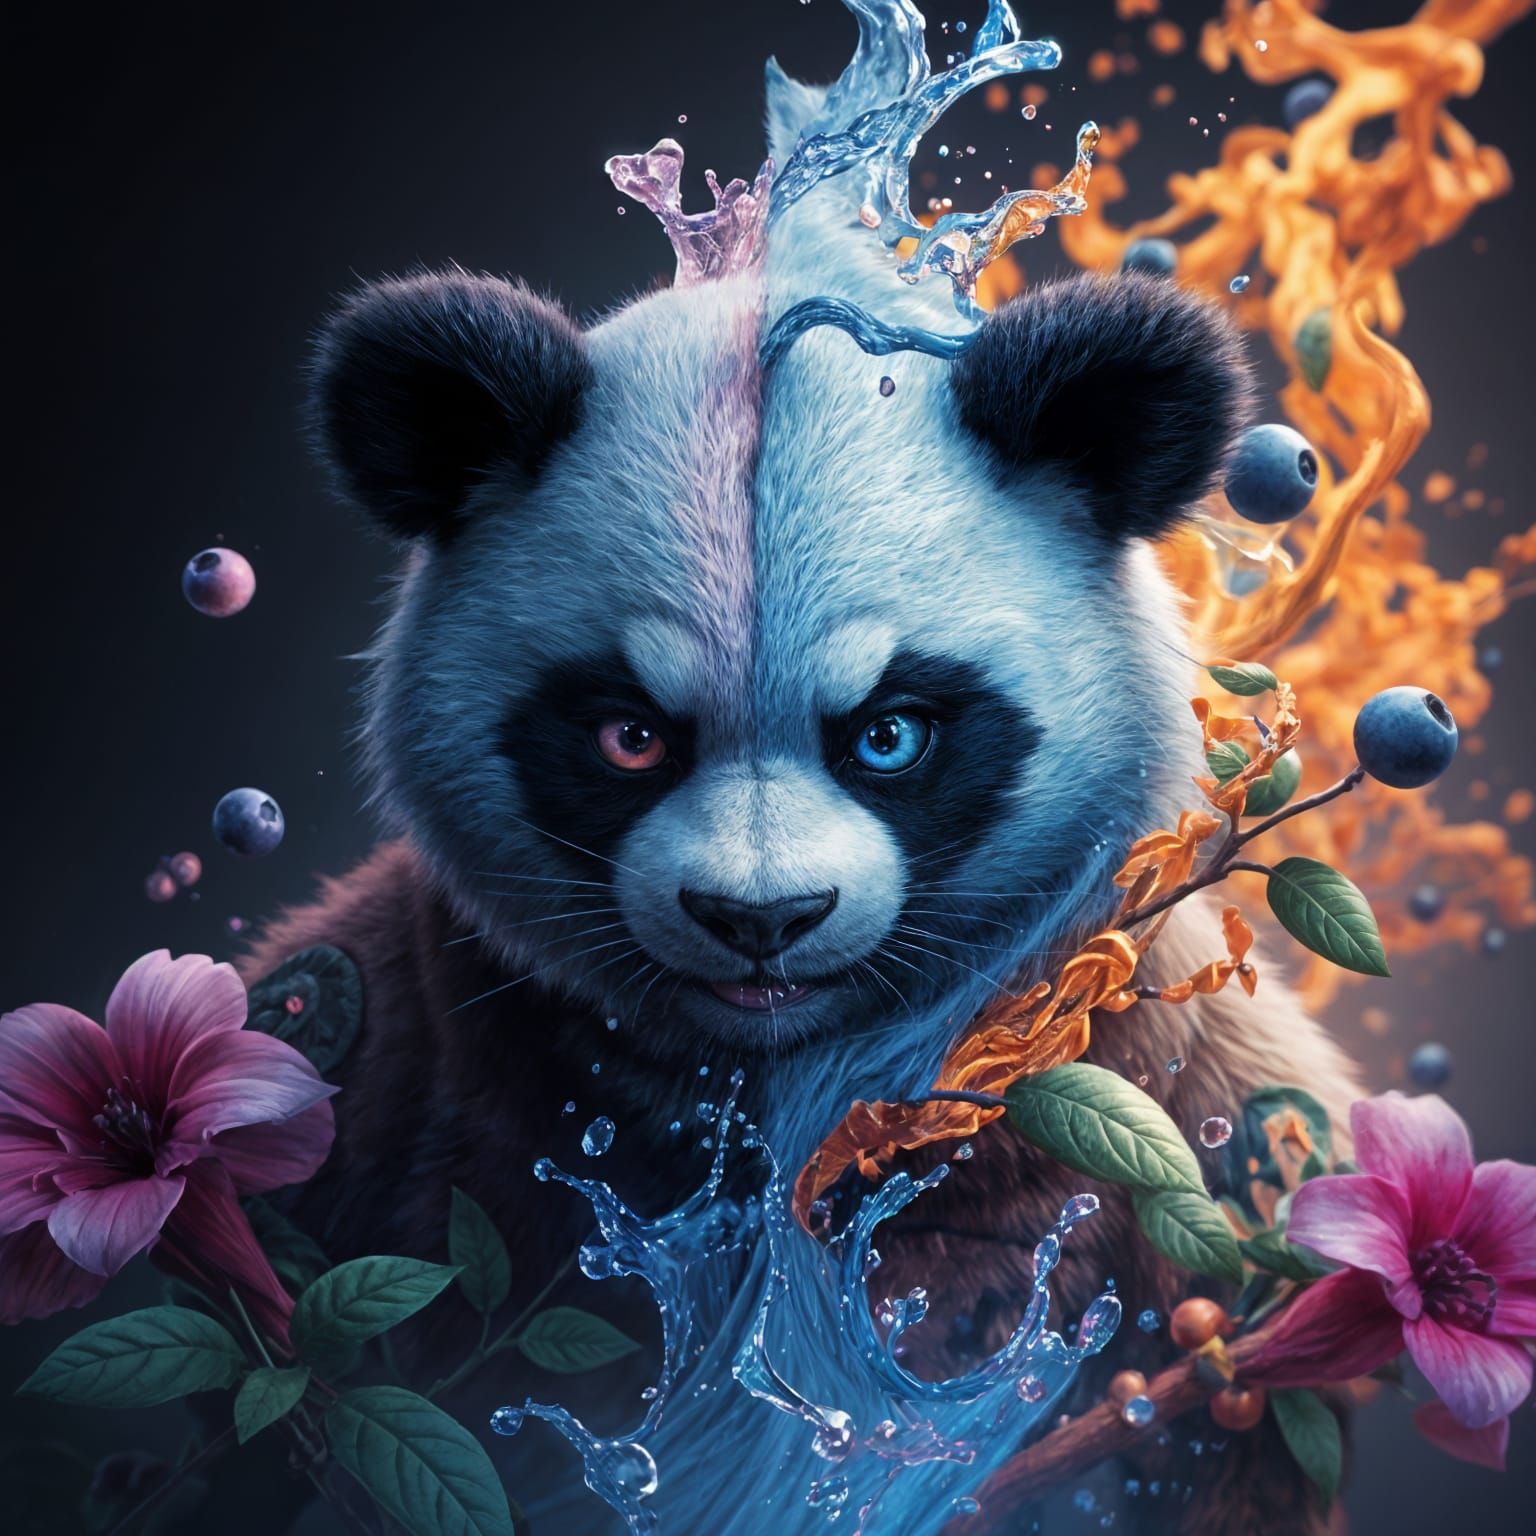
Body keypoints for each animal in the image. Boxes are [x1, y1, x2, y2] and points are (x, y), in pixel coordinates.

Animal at [240, 51, 1363, 1536]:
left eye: (889, 735)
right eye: (630, 737)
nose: (760, 920)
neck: (768, 1092)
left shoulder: (1161, 1091)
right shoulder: (391, 1051)